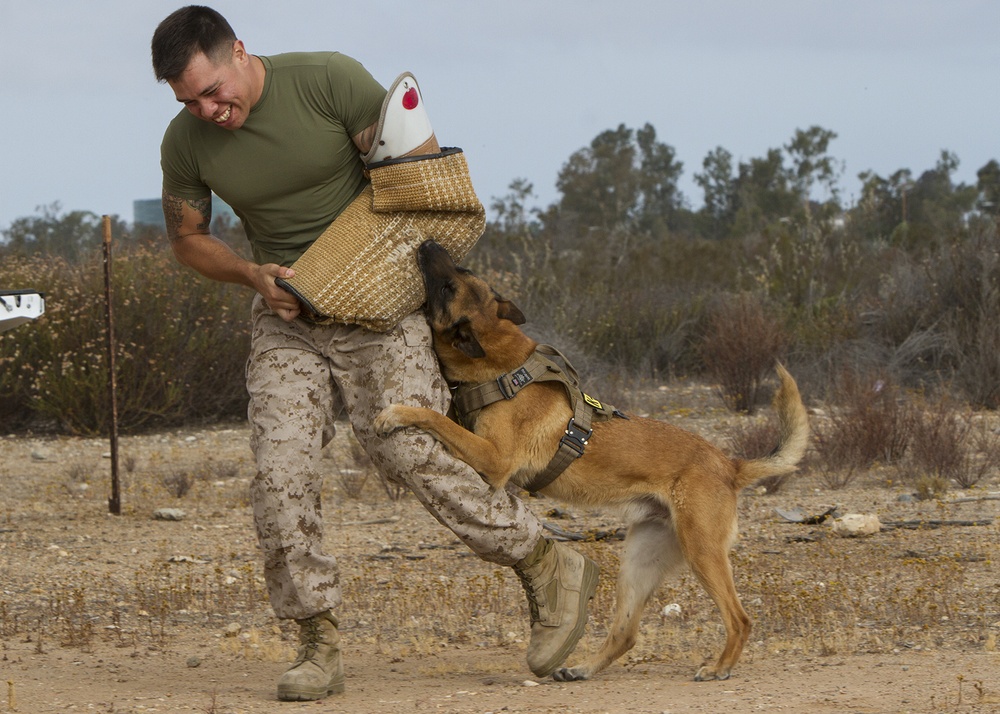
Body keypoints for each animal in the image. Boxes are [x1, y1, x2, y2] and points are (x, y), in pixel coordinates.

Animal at [372, 238, 808, 680]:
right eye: (460, 271)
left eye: (448, 286)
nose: (428, 244)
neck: (502, 366)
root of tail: (730, 465)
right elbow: (445, 417)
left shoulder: (493, 461)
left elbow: (432, 417)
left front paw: (397, 413)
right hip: (639, 561)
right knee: (626, 633)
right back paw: (582, 668)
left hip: (701, 552)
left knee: (740, 619)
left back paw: (718, 667)